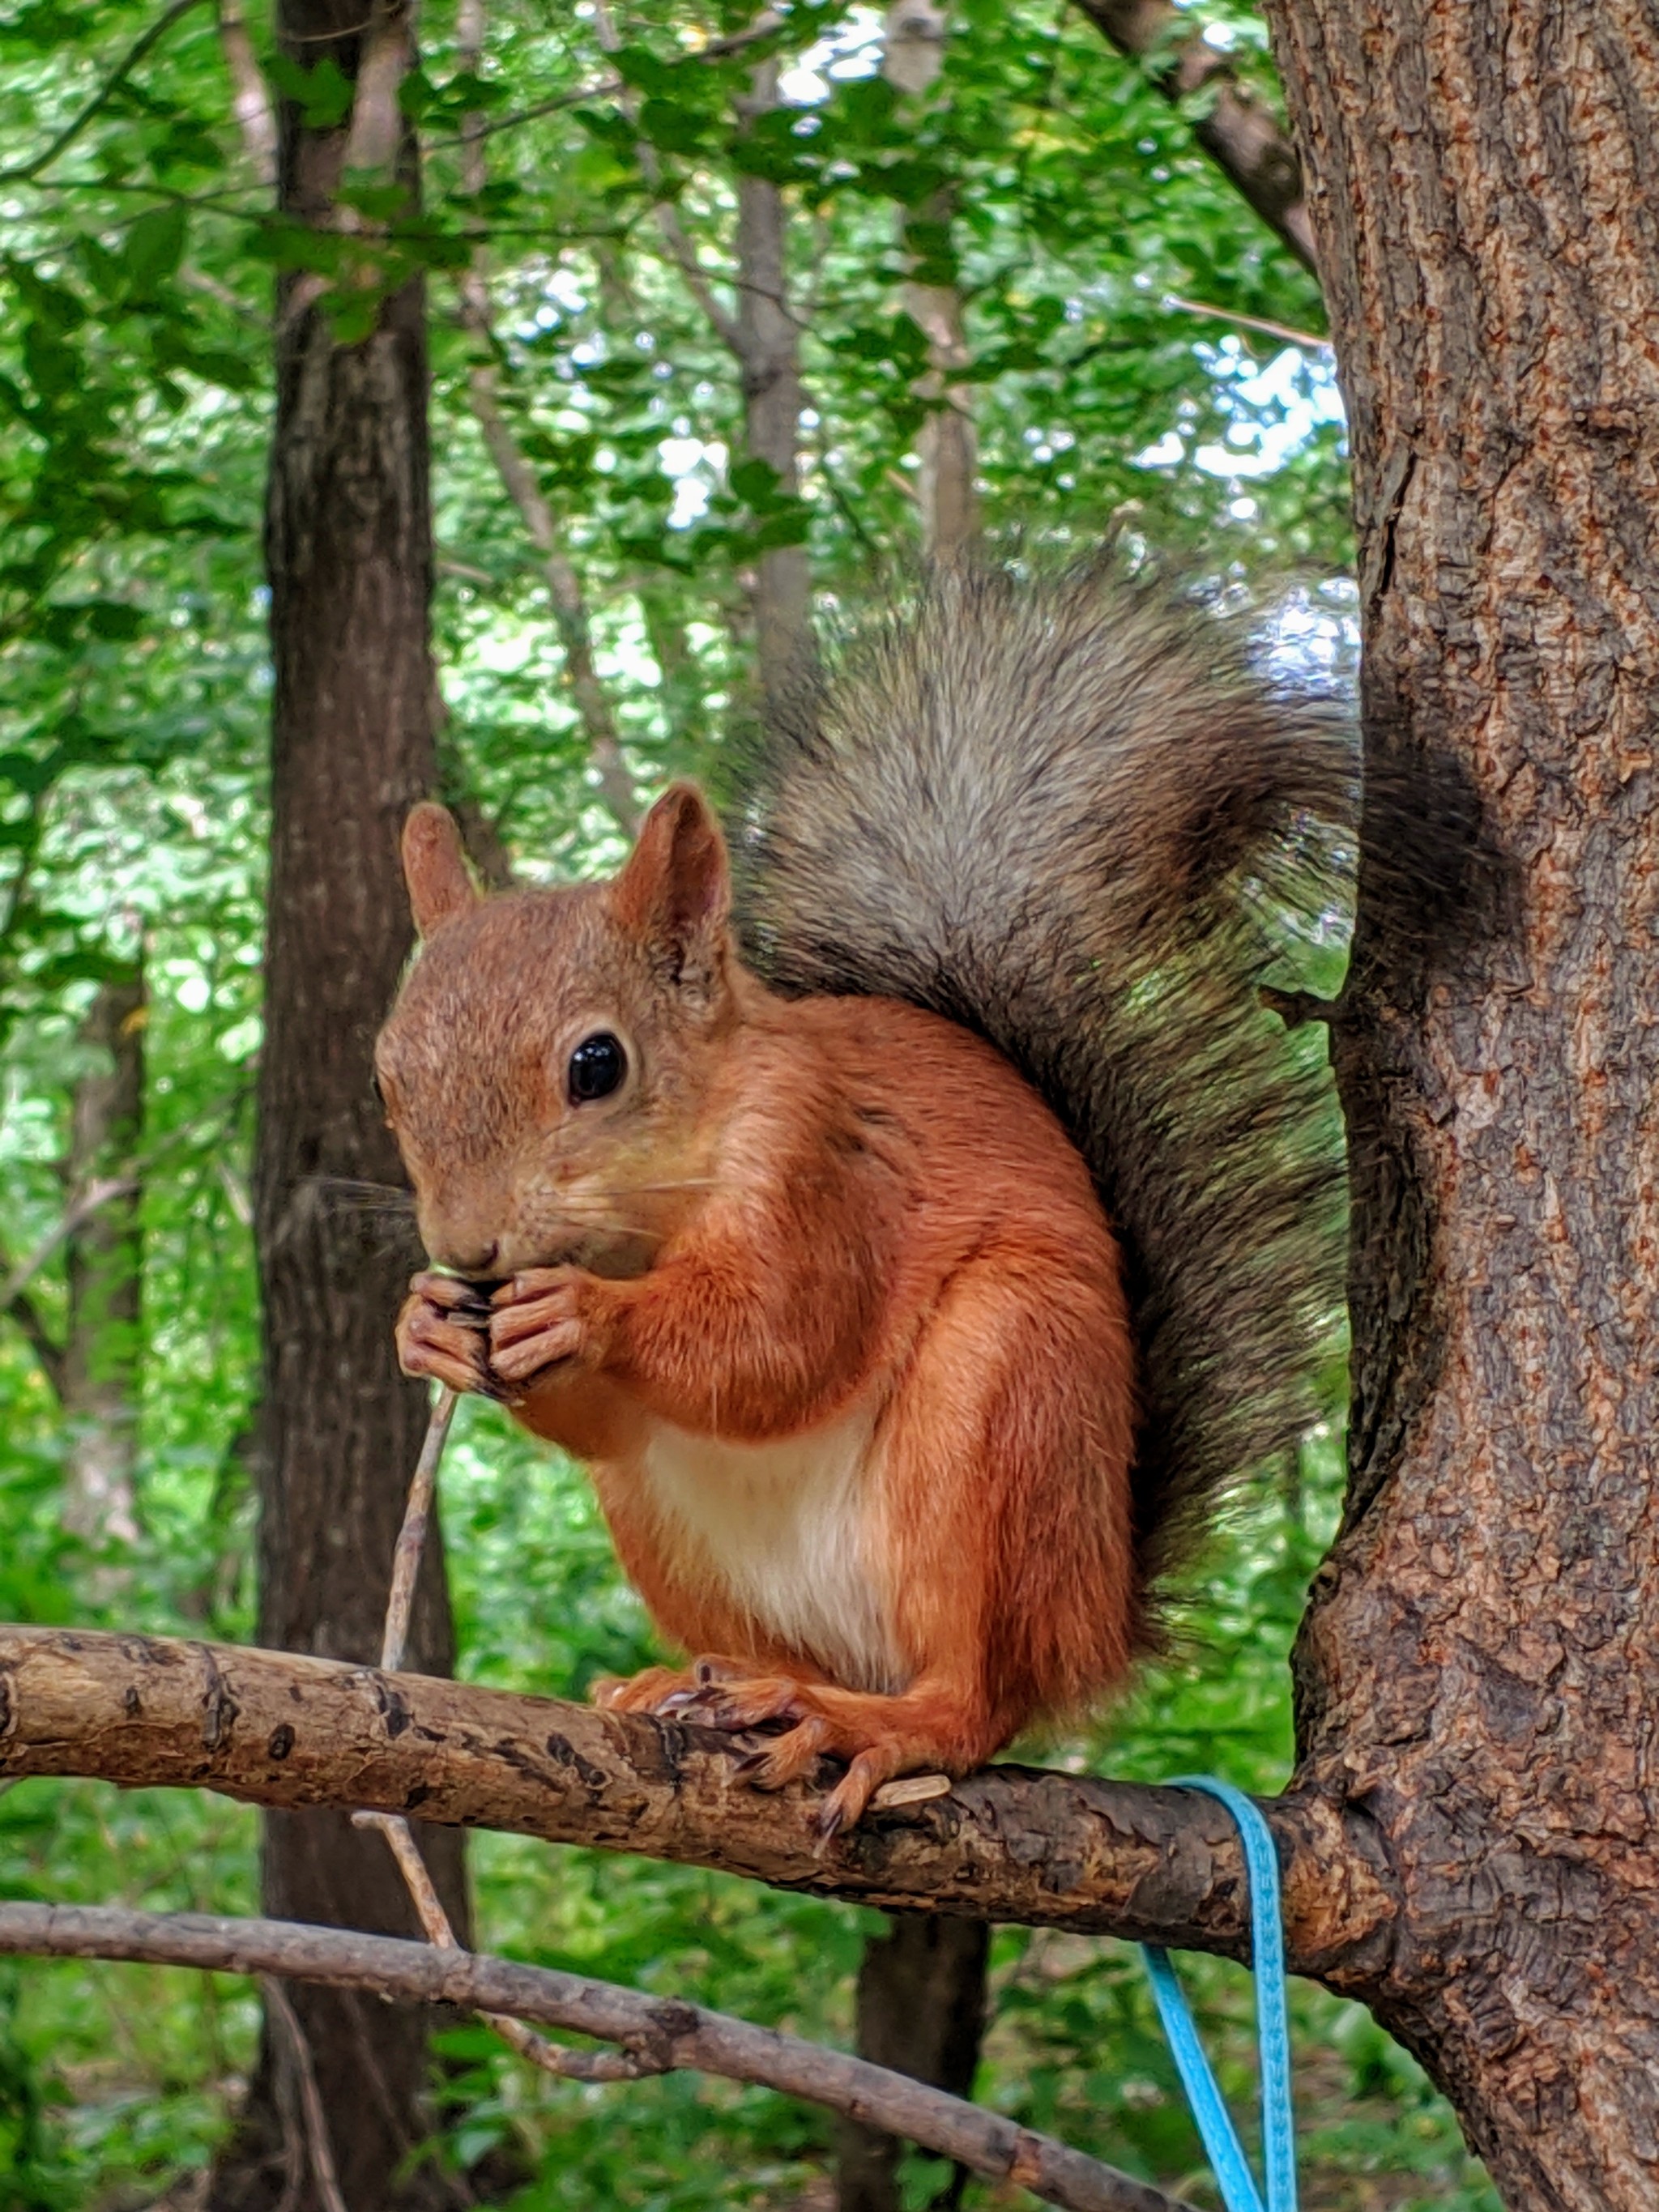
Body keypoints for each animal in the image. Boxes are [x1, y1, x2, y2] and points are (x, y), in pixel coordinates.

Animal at [380, 566, 1363, 1831]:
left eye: (597, 1064)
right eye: (387, 1074)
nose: (468, 1248)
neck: (651, 1214)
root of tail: (1098, 1617)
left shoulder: (821, 1168)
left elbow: (779, 1340)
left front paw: (586, 1315)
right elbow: (613, 1416)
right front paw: (424, 1325)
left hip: (1005, 1398)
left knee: (977, 1695)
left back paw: (884, 1720)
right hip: (668, 1529)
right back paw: (719, 1681)